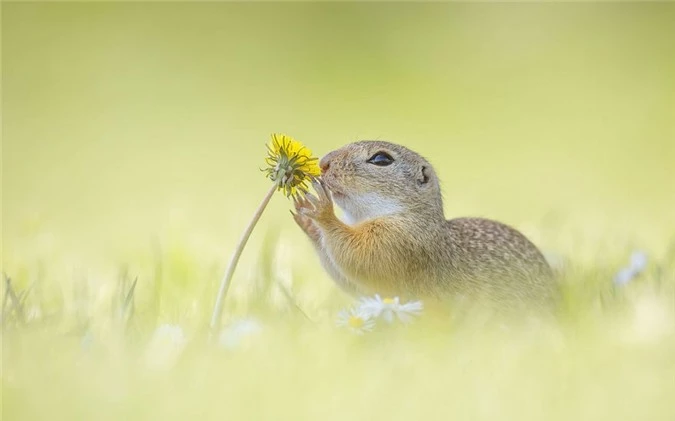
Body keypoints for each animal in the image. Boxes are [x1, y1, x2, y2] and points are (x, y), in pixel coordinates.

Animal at [294, 141, 556, 308]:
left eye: (381, 159)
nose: (324, 163)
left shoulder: (396, 242)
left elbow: (360, 257)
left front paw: (322, 211)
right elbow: (352, 282)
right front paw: (308, 222)